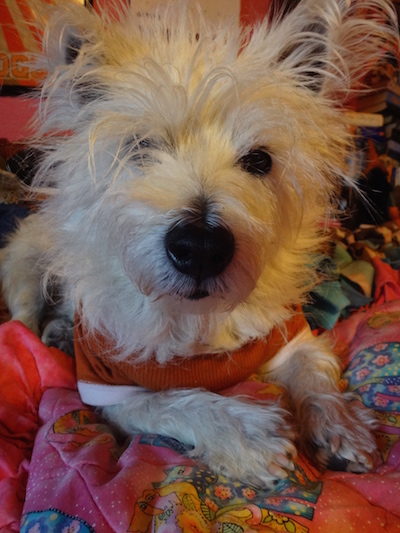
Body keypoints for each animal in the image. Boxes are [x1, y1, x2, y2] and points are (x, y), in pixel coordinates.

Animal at [1, 0, 398, 487]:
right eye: (141, 147)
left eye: (259, 160)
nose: (200, 248)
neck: (196, 318)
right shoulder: (111, 390)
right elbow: (177, 401)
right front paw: (249, 437)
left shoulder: (291, 335)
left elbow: (315, 374)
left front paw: (341, 427)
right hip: (26, 263)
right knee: (23, 323)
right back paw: (52, 335)